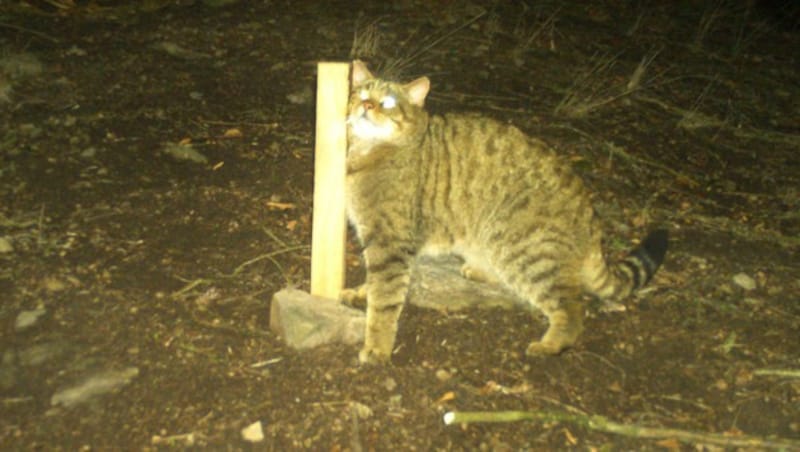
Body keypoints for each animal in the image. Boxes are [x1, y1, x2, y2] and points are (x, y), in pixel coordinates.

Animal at [346, 60, 668, 364]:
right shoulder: (377, 240)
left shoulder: (390, 242)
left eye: (388, 102)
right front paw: (361, 293)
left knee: (572, 308)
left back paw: (552, 343)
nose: (367, 105)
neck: (370, 150)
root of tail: (590, 214)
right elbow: (374, 284)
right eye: (362, 93)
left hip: (526, 250)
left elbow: (384, 300)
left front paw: (376, 347)